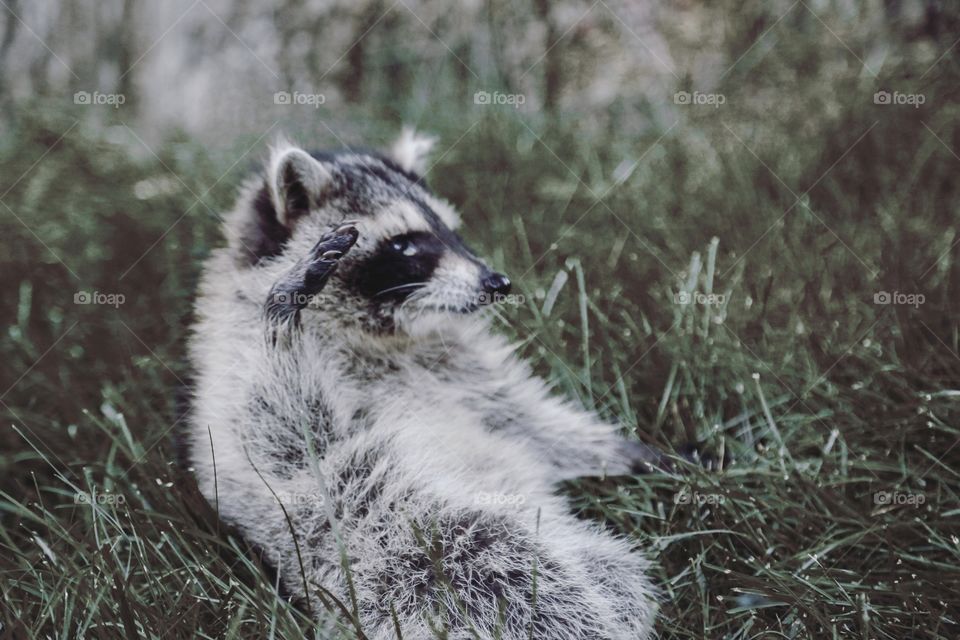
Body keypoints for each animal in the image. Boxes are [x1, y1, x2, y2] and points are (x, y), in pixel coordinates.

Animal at [184, 131, 660, 640]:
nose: (497, 282)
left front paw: (623, 451)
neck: (382, 335)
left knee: (616, 582)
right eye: (405, 245)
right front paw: (282, 320)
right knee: (512, 583)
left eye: (451, 231)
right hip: (406, 548)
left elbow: (522, 419)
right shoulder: (232, 385)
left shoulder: (460, 366)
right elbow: (283, 431)